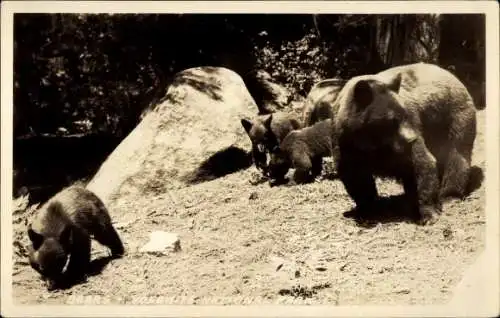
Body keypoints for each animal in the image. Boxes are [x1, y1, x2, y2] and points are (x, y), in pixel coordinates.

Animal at [332, 62, 476, 226]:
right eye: (392, 120)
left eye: (404, 114)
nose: (411, 138)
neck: (372, 143)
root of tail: (451, 74)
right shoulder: (346, 143)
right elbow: (354, 176)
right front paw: (367, 211)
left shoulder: (410, 132)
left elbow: (422, 164)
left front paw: (428, 214)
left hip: (454, 115)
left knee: (457, 153)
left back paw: (450, 195)